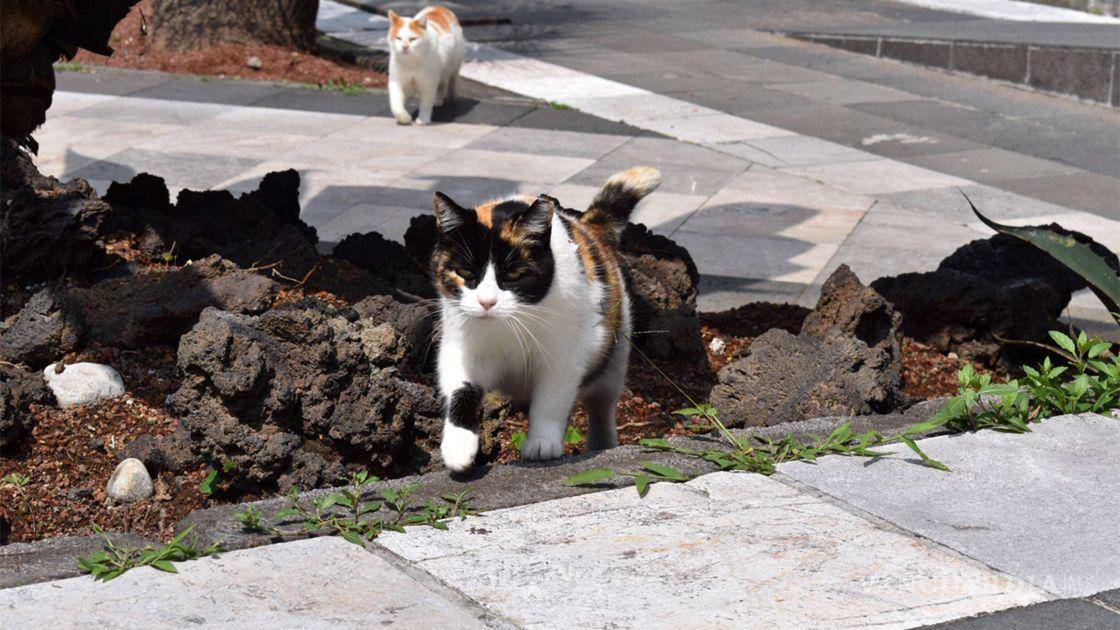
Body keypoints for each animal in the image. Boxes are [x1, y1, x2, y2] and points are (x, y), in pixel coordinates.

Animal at [434, 164, 663, 468]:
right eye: (464, 273)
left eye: (514, 275)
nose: (486, 301)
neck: (507, 327)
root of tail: (587, 226)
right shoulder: (459, 345)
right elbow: (461, 387)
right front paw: (458, 445)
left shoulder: (564, 358)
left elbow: (552, 399)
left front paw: (542, 442)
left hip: (614, 353)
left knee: (602, 404)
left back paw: (601, 442)